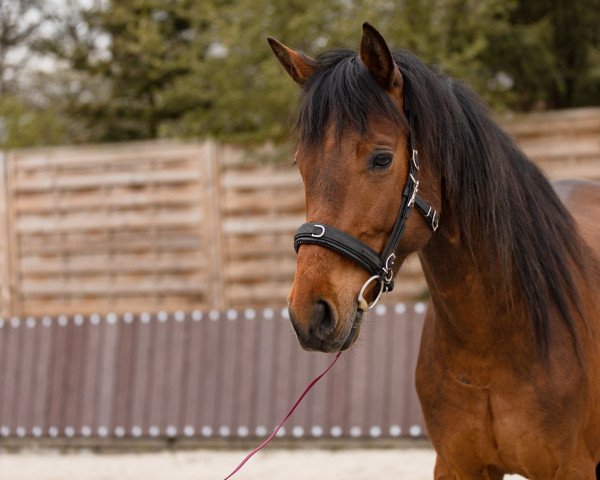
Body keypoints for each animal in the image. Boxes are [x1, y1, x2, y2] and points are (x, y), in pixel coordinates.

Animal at [268, 24, 600, 480]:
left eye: (382, 158)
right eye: (302, 164)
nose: (311, 313)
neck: (492, 346)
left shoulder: (573, 468)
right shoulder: (457, 466)